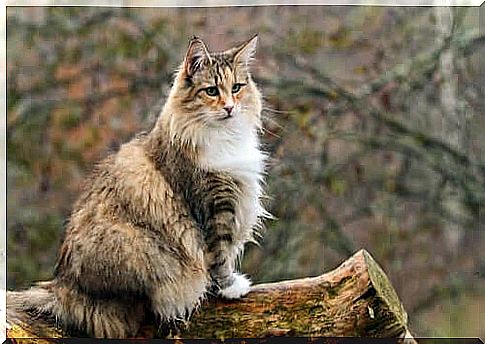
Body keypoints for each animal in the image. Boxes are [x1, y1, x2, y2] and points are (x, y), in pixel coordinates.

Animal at [7, 35, 270, 338]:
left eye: (236, 88)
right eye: (212, 91)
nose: (229, 108)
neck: (224, 138)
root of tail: (63, 286)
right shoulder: (213, 206)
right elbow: (219, 256)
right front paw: (230, 287)